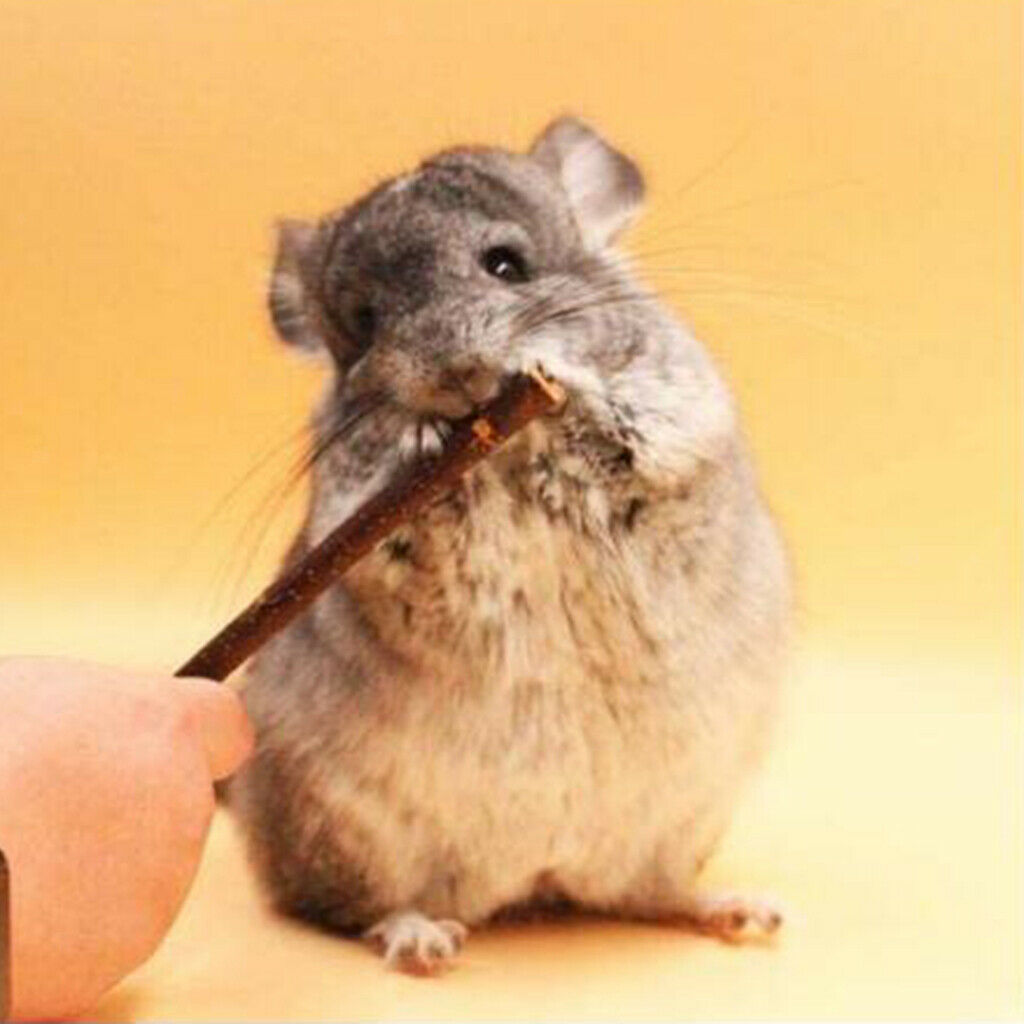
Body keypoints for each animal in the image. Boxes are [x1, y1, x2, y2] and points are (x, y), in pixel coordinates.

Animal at [227, 116, 792, 972]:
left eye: (505, 264)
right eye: (364, 323)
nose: (455, 373)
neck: (503, 450)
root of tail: (537, 873)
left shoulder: (675, 424)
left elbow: (617, 420)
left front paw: (548, 368)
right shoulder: (362, 534)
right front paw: (420, 437)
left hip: (682, 819)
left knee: (648, 895)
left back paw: (739, 911)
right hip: (345, 832)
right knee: (351, 909)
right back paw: (420, 938)